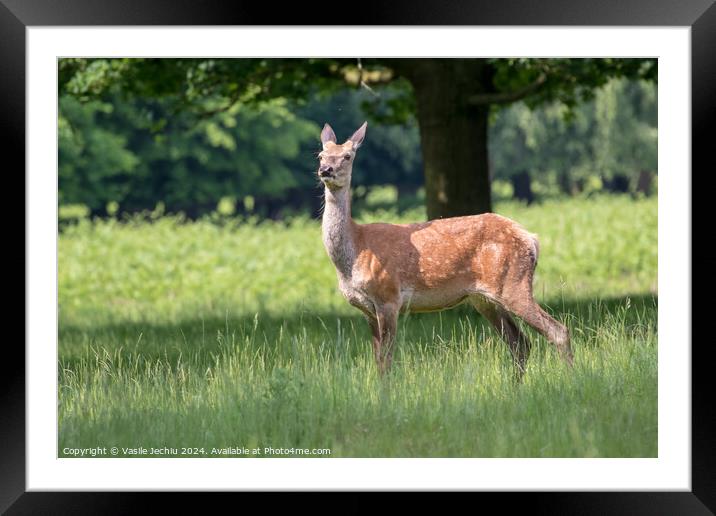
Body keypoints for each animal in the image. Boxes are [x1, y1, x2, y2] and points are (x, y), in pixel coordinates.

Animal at [316, 122, 572, 378]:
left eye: (347, 156)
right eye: (320, 155)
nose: (326, 170)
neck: (356, 250)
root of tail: (532, 239)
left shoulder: (388, 296)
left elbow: (387, 360)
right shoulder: (367, 309)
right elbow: (378, 360)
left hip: (513, 282)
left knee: (558, 331)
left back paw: (567, 376)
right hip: (484, 298)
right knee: (519, 342)